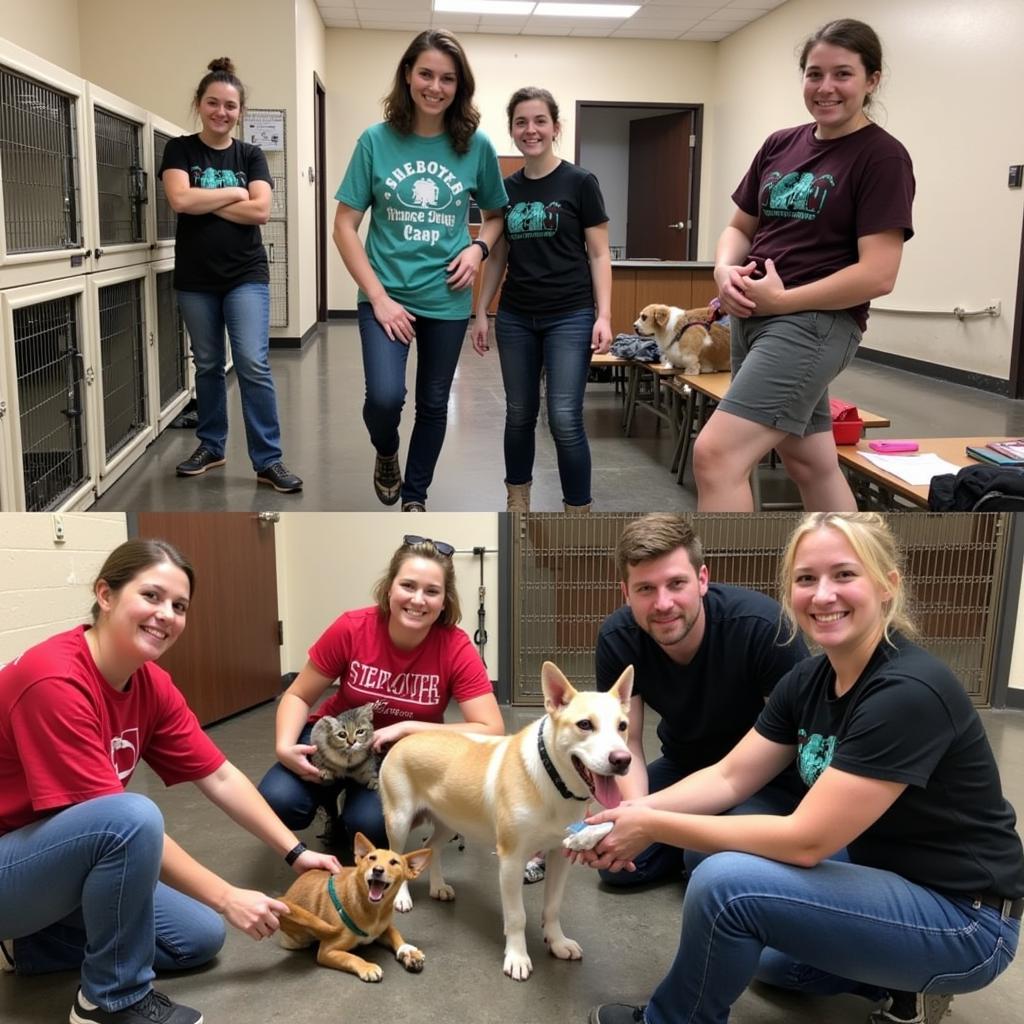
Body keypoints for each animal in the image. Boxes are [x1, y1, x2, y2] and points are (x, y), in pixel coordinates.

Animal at [274, 831, 430, 983]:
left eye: (394, 862)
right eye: (372, 858)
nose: (377, 870)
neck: (374, 911)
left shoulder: (382, 928)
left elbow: (394, 933)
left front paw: (408, 950)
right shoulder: (327, 951)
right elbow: (350, 957)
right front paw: (367, 967)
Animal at [378, 659, 630, 978]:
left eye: (623, 726)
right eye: (585, 724)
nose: (622, 760)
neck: (552, 782)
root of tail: (405, 739)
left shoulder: (560, 856)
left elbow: (553, 907)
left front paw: (557, 942)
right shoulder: (511, 860)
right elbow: (516, 916)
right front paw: (517, 957)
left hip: (449, 822)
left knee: (431, 846)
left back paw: (438, 887)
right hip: (399, 821)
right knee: (397, 854)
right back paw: (402, 897)